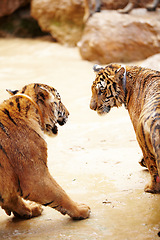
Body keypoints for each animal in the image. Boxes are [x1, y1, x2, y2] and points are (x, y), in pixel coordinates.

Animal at [0, 83, 90, 220]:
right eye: (59, 101)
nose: (69, 114)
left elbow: (13, 198)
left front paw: (30, 209)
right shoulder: (36, 177)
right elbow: (59, 193)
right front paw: (80, 210)